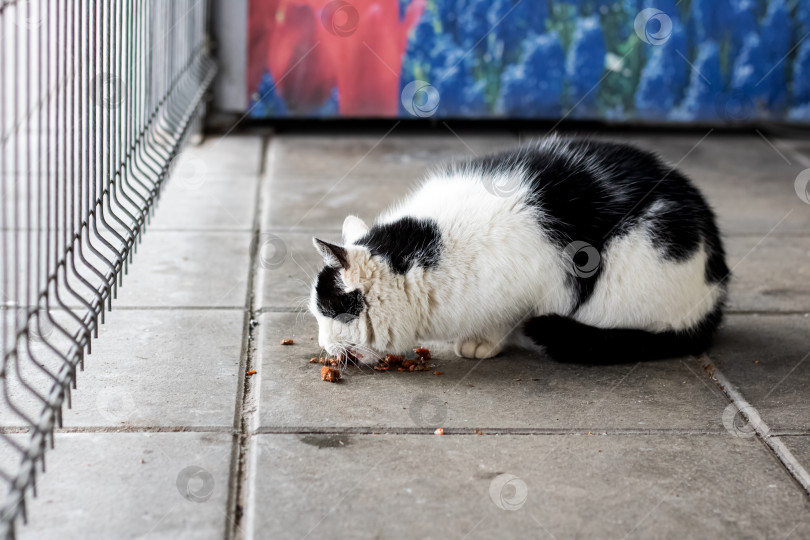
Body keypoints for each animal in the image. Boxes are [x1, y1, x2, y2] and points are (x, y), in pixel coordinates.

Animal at [308, 136, 724, 362]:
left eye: (330, 314)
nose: (323, 344)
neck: (430, 247)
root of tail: (718, 283)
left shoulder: (529, 284)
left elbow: (504, 318)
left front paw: (482, 342)